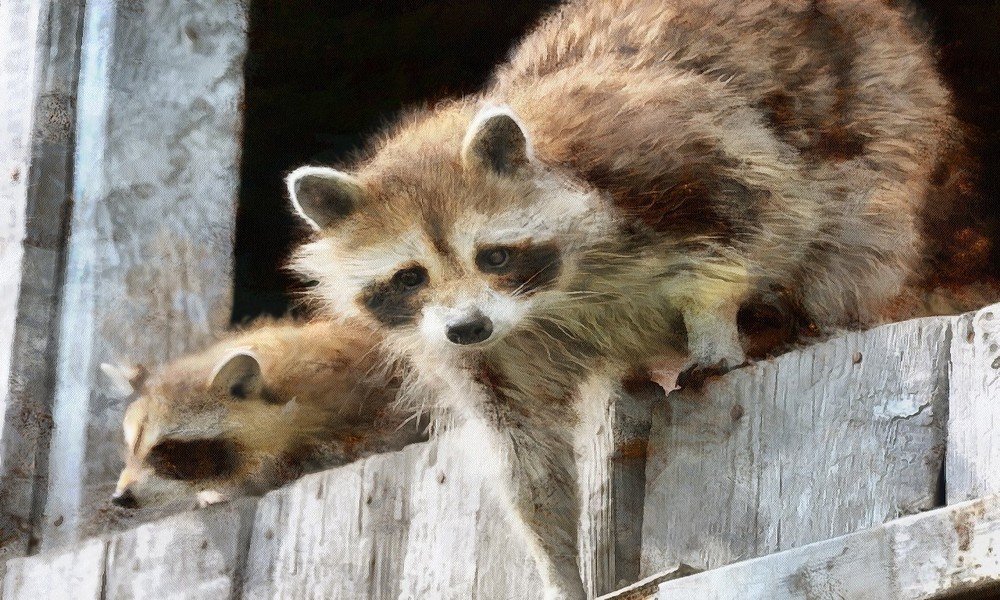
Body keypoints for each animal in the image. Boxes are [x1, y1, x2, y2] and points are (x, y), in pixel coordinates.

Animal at [285, 1, 962, 597]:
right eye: (410, 278)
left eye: (493, 257)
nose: (468, 326)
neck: (549, 296)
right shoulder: (486, 352)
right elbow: (526, 454)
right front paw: (557, 566)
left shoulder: (663, 158)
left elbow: (763, 209)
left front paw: (714, 318)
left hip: (883, 100)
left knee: (852, 224)